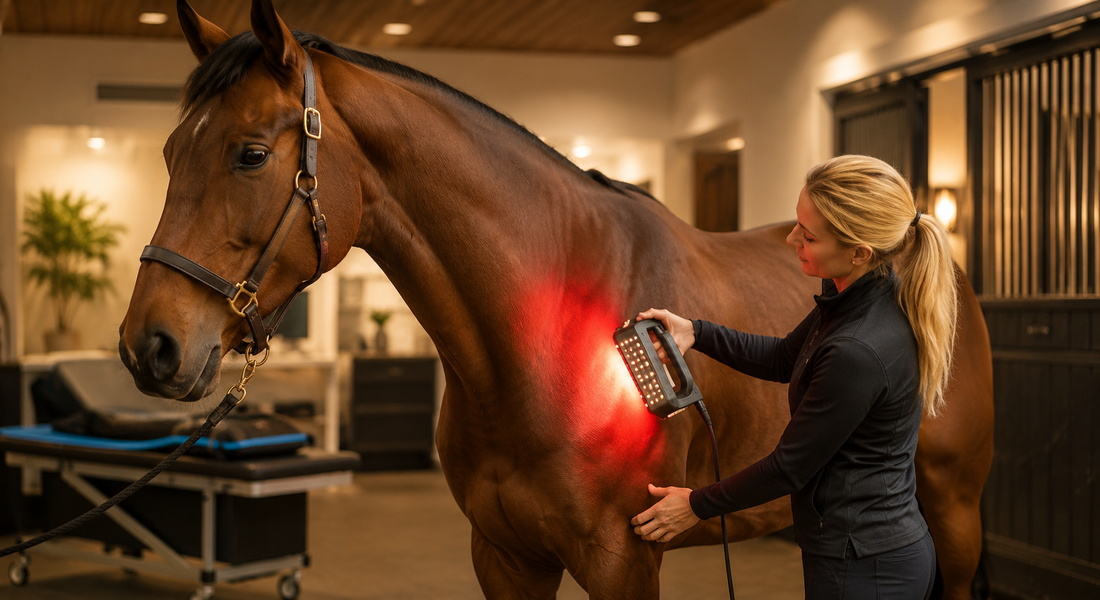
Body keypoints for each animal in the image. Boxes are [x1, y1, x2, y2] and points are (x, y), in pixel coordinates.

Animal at [118, 1, 994, 598]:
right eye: (169, 151)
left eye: (250, 154)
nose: (148, 345)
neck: (537, 341)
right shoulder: (506, 557)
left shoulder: (622, 561)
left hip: (952, 509)